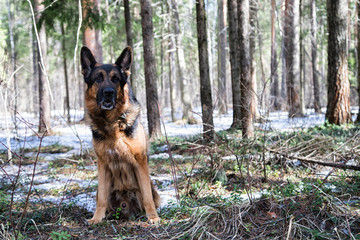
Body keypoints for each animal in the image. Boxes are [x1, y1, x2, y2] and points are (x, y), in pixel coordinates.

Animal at [82, 46, 161, 224]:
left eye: (116, 79)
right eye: (98, 78)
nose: (108, 93)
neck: (113, 122)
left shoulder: (140, 161)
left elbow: (147, 196)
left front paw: (153, 217)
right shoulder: (103, 164)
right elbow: (102, 198)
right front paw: (96, 218)